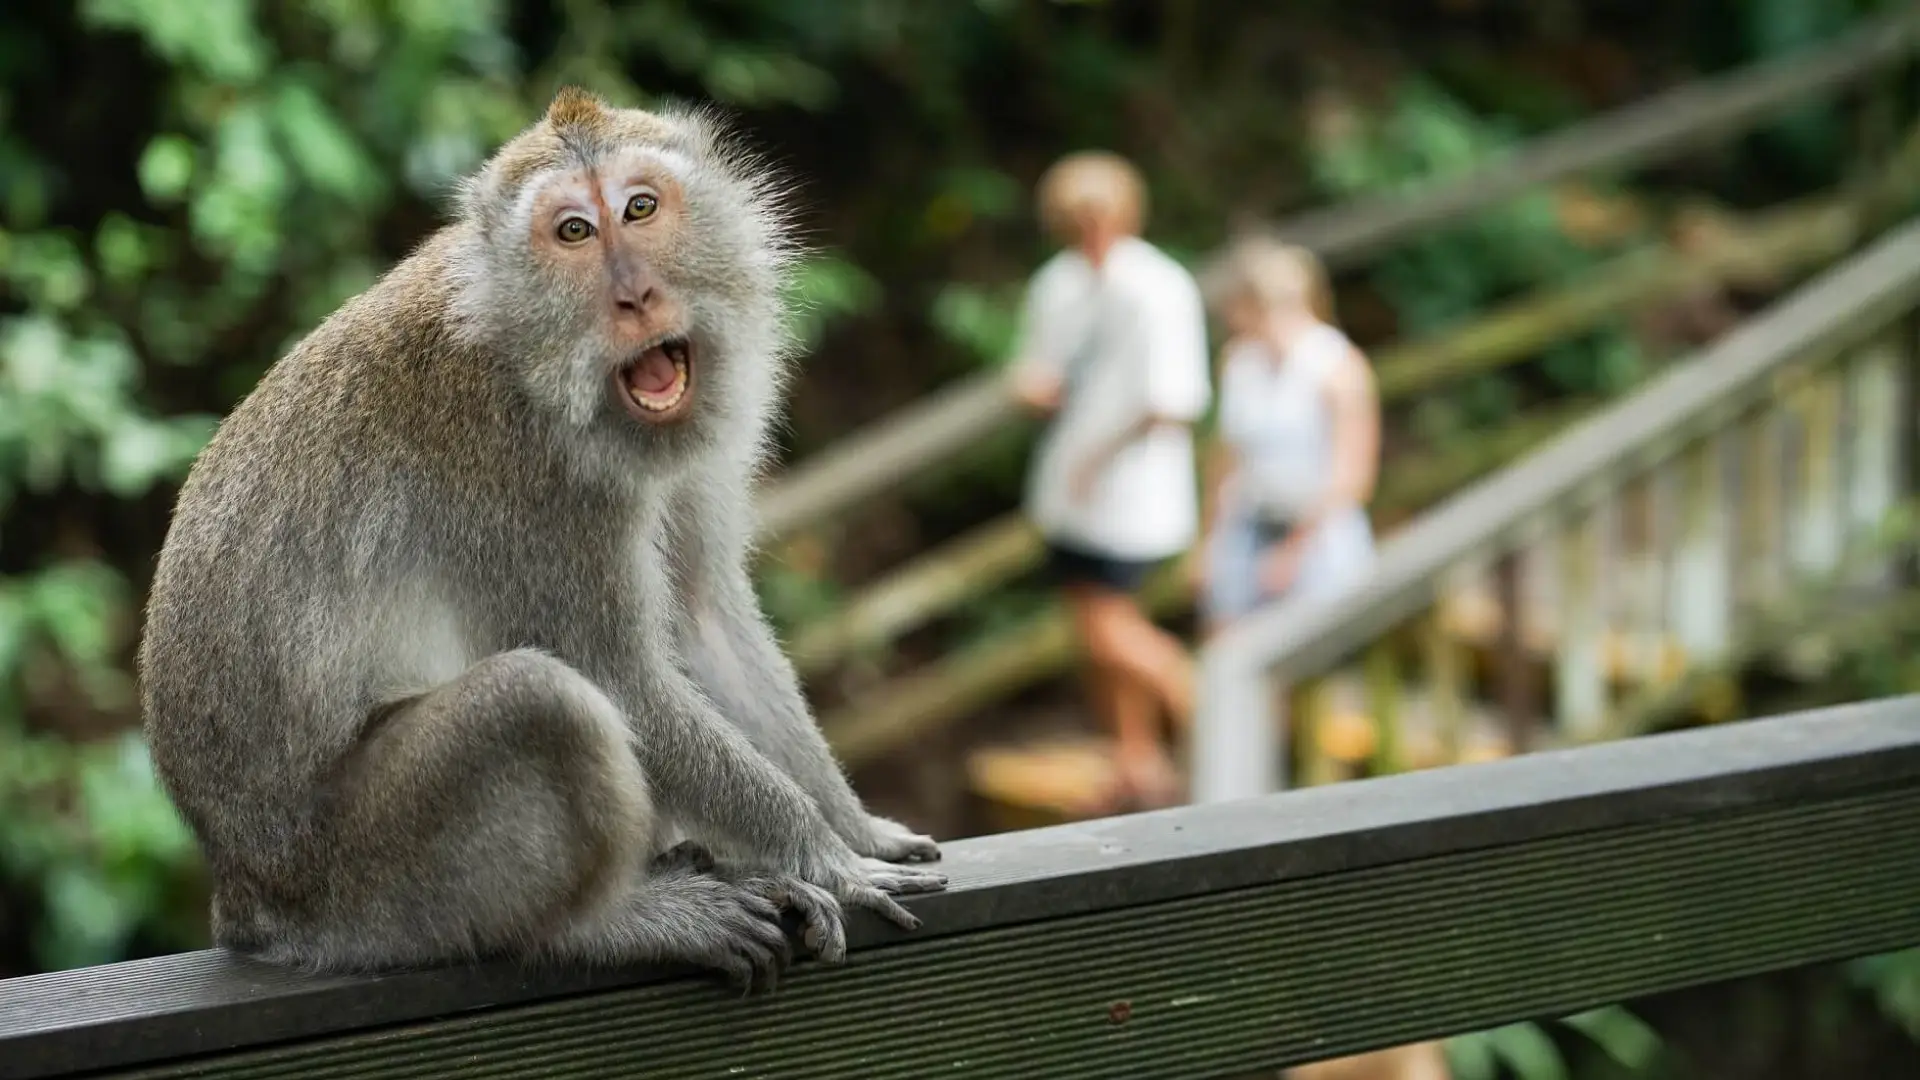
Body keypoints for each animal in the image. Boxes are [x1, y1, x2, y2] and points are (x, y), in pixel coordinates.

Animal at [136, 87, 946, 991]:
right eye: (574, 233)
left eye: (640, 208)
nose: (635, 297)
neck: (534, 360)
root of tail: (243, 893)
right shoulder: (527, 481)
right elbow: (618, 679)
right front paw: (818, 853)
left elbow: (706, 618)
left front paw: (857, 827)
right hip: (363, 879)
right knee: (538, 703)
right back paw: (610, 923)